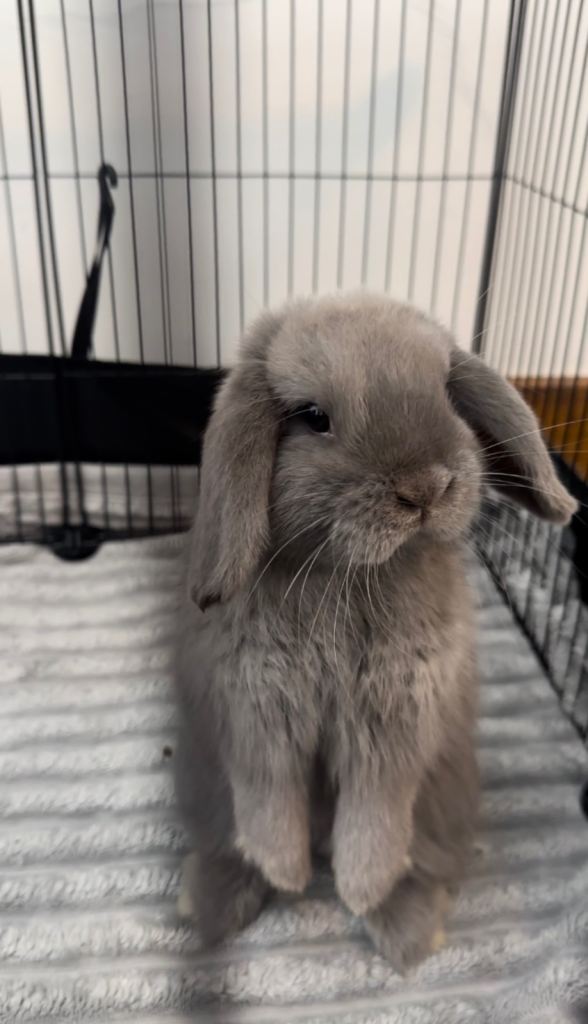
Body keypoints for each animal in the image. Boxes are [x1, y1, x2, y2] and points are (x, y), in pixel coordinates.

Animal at [174, 292, 576, 971]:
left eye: (446, 394)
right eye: (313, 418)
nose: (425, 489)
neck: (349, 575)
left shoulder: (394, 725)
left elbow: (375, 817)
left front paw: (361, 890)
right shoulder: (257, 716)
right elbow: (268, 804)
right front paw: (288, 875)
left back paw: (407, 931)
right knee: (232, 841)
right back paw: (210, 901)